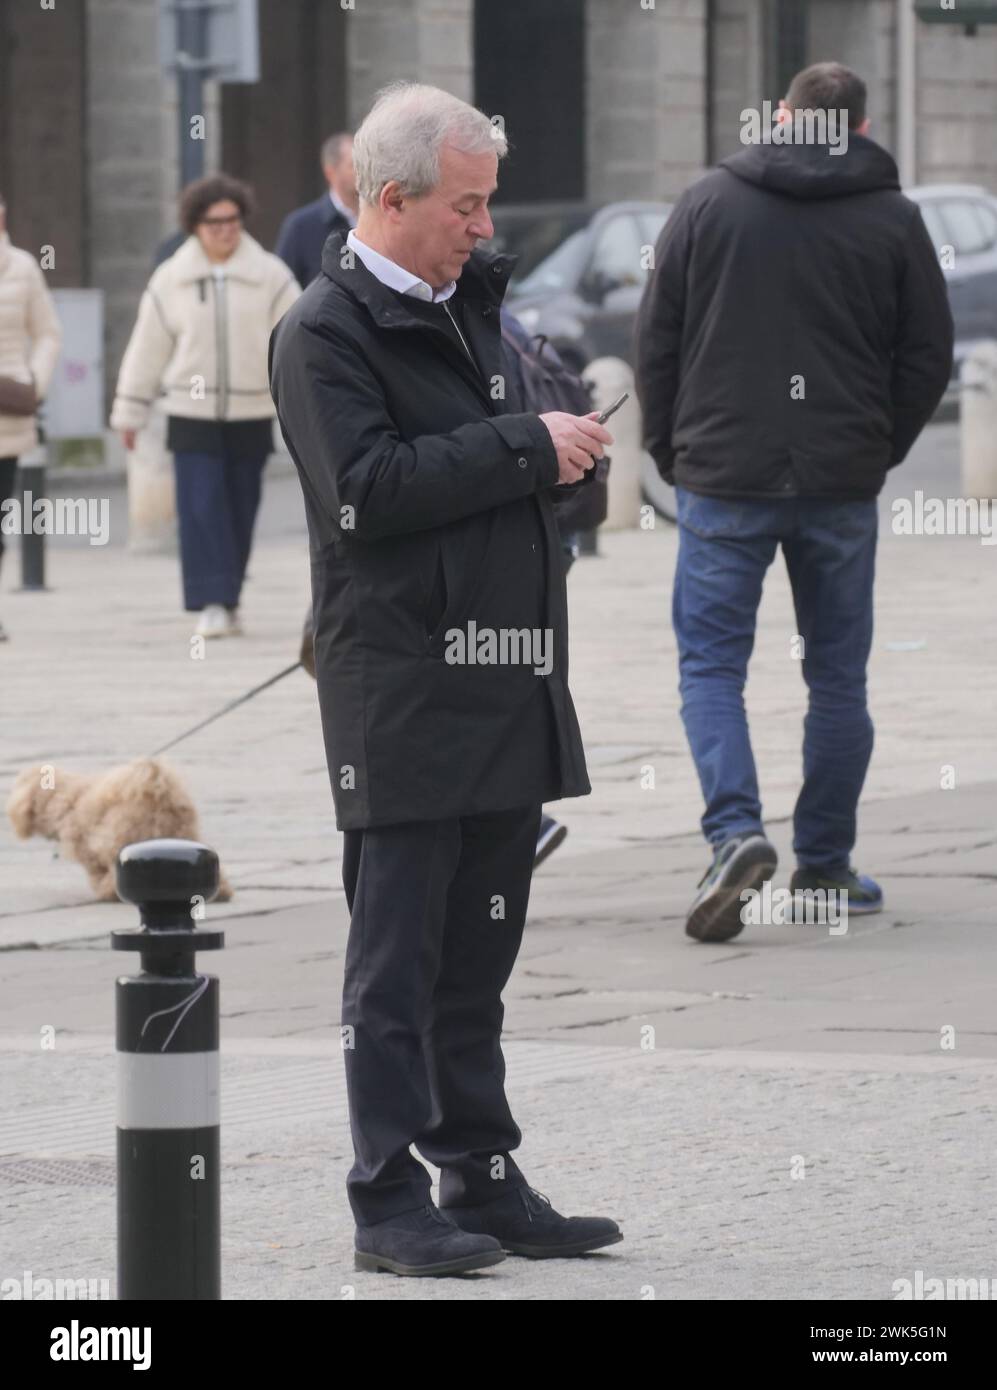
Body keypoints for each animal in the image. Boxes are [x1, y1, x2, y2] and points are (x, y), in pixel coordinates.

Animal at [5, 761, 233, 900]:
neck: (64, 800)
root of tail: (159, 791)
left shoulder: (89, 848)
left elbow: (97, 870)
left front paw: (104, 888)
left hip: (122, 834)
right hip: (182, 833)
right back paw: (221, 891)